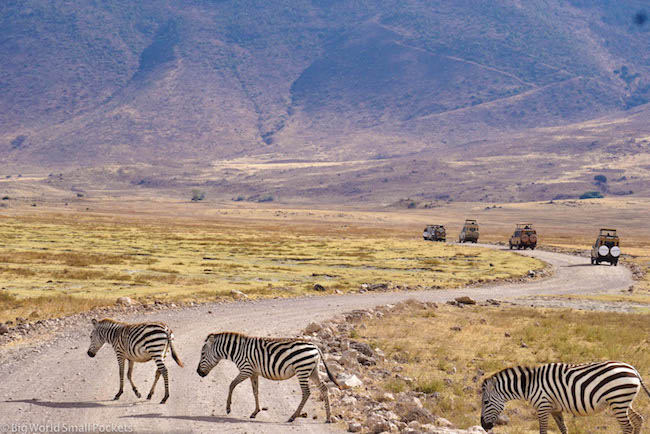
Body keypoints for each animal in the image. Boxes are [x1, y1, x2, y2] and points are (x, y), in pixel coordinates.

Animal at [195, 332, 342, 420]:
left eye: (202, 354)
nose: (198, 372)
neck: (237, 350)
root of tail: (315, 347)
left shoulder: (246, 370)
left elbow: (231, 384)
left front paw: (228, 408)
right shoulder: (253, 373)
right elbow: (255, 391)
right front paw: (255, 412)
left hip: (302, 369)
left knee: (306, 392)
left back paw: (293, 416)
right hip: (313, 371)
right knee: (324, 388)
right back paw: (328, 418)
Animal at [478, 362, 644, 432]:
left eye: (485, 402)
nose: (484, 426)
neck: (530, 385)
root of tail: (632, 368)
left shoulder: (543, 407)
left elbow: (543, 430)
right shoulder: (555, 409)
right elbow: (563, 428)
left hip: (618, 401)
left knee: (627, 426)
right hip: (623, 402)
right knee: (638, 419)